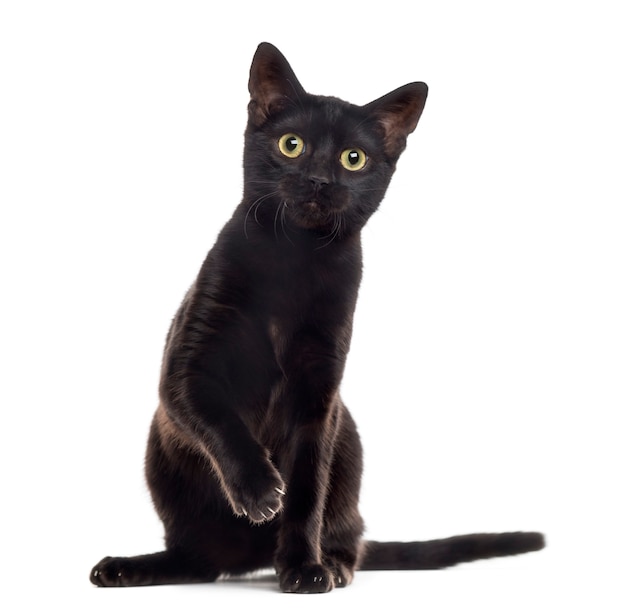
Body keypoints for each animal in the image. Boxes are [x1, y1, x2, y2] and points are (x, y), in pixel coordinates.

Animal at [89, 41, 540, 592]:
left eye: (354, 158)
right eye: (292, 145)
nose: (320, 180)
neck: (294, 262)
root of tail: (247, 560)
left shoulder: (318, 398)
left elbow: (306, 494)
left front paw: (304, 568)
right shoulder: (187, 364)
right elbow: (220, 420)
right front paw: (260, 491)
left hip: (346, 443)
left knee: (350, 534)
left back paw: (334, 565)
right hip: (164, 453)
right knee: (197, 559)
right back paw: (128, 567)